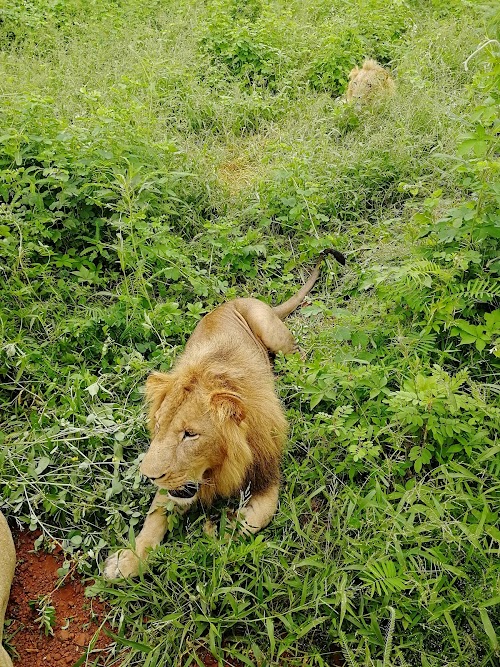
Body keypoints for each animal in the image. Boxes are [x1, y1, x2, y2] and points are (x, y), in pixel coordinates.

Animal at [101, 250, 344, 580]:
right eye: (159, 427)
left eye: (190, 434)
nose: (149, 476)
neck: (218, 469)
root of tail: (234, 300)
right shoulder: (175, 484)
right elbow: (154, 518)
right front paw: (128, 561)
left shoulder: (266, 470)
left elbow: (256, 518)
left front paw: (222, 528)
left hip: (272, 333)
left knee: (300, 358)